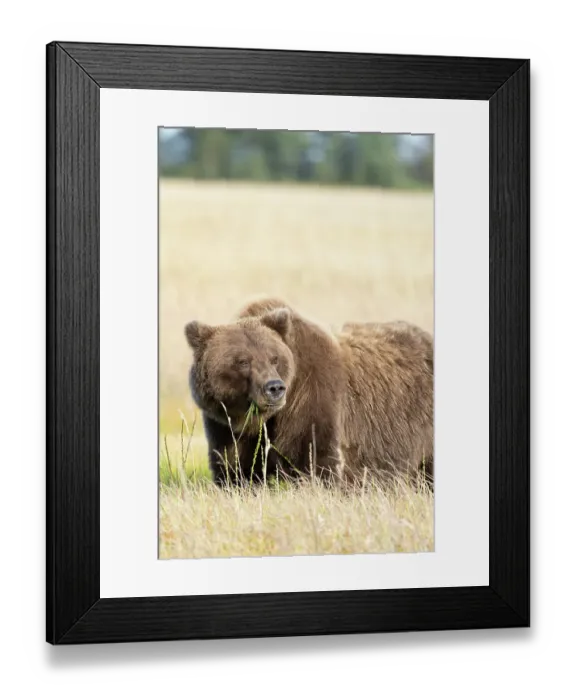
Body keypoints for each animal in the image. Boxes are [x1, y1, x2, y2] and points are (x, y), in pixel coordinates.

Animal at [184, 298, 433, 488]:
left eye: (274, 358)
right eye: (243, 361)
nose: (274, 388)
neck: (260, 418)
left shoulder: (311, 401)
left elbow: (316, 461)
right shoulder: (227, 426)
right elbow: (234, 469)